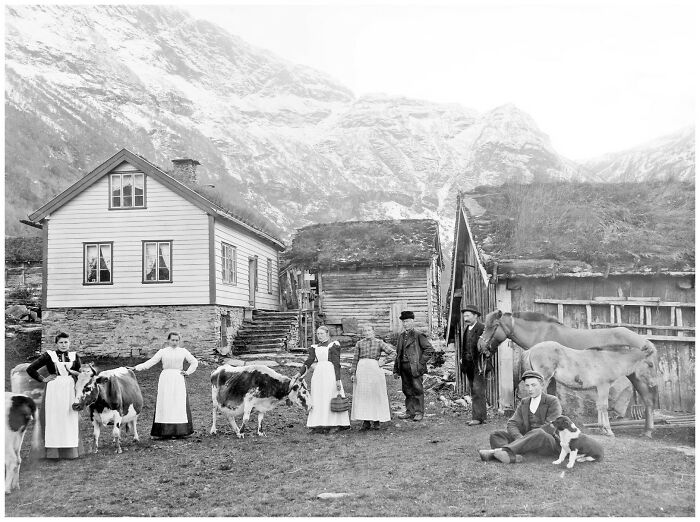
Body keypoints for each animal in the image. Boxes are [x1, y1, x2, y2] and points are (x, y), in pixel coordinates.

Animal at [524, 342, 656, 434]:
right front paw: (609, 430)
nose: (653, 384)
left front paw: (601, 429)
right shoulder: (604, 386)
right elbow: (604, 407)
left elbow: (598, 406)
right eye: (650, 364)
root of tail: (531, 349)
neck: (609, 360)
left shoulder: (597, 388)